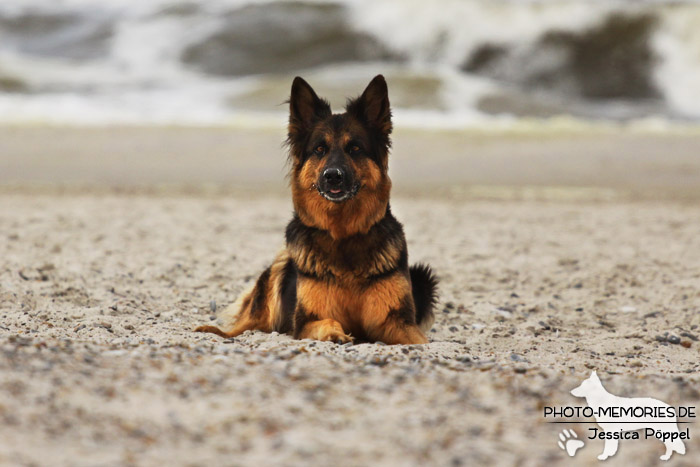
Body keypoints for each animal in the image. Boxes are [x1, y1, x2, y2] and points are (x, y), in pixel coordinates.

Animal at [194, 75, 438, 346]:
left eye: (355, 148)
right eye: (320, 149)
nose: (333, 176)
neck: (343, 236)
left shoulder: (398, 324)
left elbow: (419, 340)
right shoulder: (305, 323)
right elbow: (328, 321)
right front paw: (337, 333)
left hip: (423, 278)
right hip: (279, 267)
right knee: (244, 324)